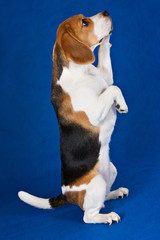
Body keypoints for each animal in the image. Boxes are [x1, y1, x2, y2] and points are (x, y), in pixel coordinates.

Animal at [18, 10, 129, 225]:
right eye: (84, 22)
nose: (106, 12)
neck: (82, 70)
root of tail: (66, 194)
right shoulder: (93, 113)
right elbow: (114, 88)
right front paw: (121, 105)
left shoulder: (105, 77)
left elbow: (109, 77)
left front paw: (106, 41)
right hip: (96, 184)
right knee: (88, 216)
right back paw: (106, 216)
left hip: (111, 169)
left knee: (103, 198)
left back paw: (115, 192)